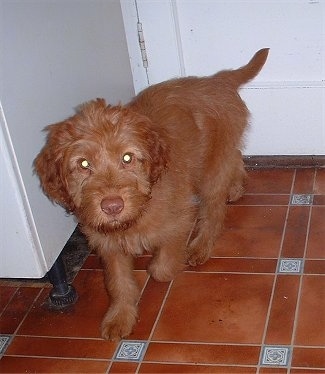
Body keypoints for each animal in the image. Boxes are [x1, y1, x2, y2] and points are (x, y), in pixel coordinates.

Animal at [34, 48, 268, 340]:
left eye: (127, 158)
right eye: (84, 164)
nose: (112, 206)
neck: (136, 213)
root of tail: (217, 80)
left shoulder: (179, 218)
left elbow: (161, 267)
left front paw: (163, 267)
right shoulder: (107, 244)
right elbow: (118, 282)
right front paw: (120, 317)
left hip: (210, 172)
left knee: (213, 209)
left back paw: (201, 245)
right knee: (235, 157)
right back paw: (235, 187)